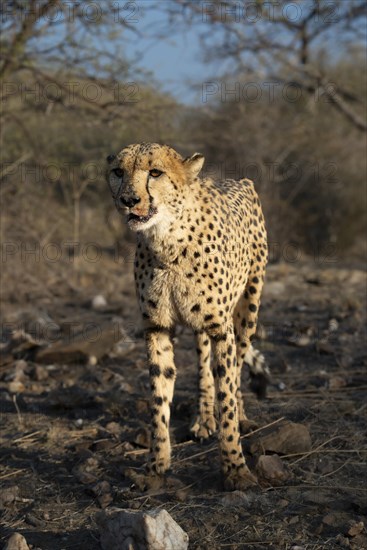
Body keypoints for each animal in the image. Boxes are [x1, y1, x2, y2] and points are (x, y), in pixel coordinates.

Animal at [106, 142, 270, 492]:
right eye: (118, 172)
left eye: (155, 172)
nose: (129, 200)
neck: (166, 241)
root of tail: (239, 179)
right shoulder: (156, 327)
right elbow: (159, 397)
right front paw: (156, 466)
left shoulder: (222, 328)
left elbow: (227, 393)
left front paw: (235, 468)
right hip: (201, 327)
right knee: (205, 365)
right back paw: (203, 419)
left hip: (248, 308)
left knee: (237, 366)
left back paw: (239, 414)